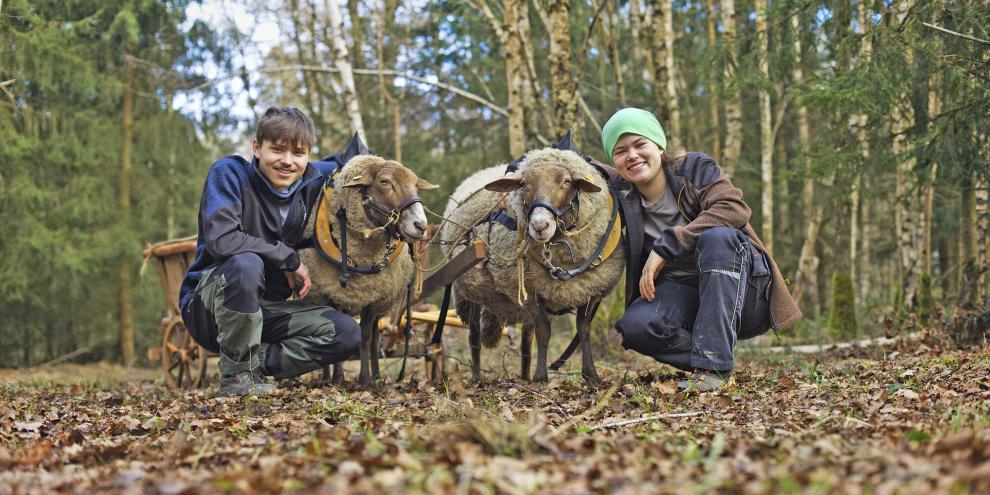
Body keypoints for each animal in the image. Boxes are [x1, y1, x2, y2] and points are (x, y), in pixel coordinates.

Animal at [302, 145, 438, 390]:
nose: (421, 226)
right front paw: (338, 378)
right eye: (385, 181)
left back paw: (376, 376)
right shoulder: (335, 294)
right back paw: (326, 377)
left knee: (375, 336)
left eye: (415, 184)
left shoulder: (373, 297)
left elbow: (365, 337)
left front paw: (365, 380)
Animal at [442, 145, 628, 386]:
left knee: (525, 340)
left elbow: (583, 329)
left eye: (567, 181)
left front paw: (591, 375)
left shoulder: (592, 290)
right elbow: (544, 331)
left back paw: (524, 374)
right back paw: (476, 376)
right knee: (474, 336)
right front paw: (541, 377)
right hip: (469, 291)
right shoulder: (530, 291)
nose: (540, 225)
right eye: (524, 184)